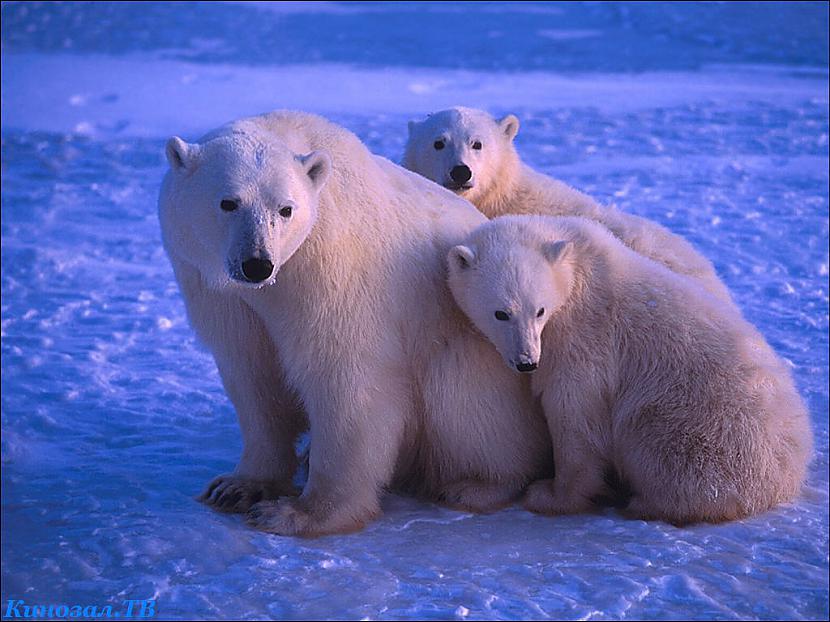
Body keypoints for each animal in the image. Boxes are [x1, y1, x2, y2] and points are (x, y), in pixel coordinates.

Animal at [159, 111, 556, 536]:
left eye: (285, 209)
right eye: (228, 202)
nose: (257, 263)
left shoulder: (333, 269)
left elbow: (345, 376)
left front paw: (299, 513)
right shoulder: (218, 291)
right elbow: (253, 373)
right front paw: (237, 488)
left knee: (461, 396)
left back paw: (474, 486)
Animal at [448, 217, 812, 524]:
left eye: (539, 310)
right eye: (501, 313)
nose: (527, 361)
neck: (577, 266)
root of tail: (789, 473)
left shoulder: (584, 338)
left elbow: (576, 413)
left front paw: (549, 495)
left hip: (702, 426)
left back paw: (646, 503)